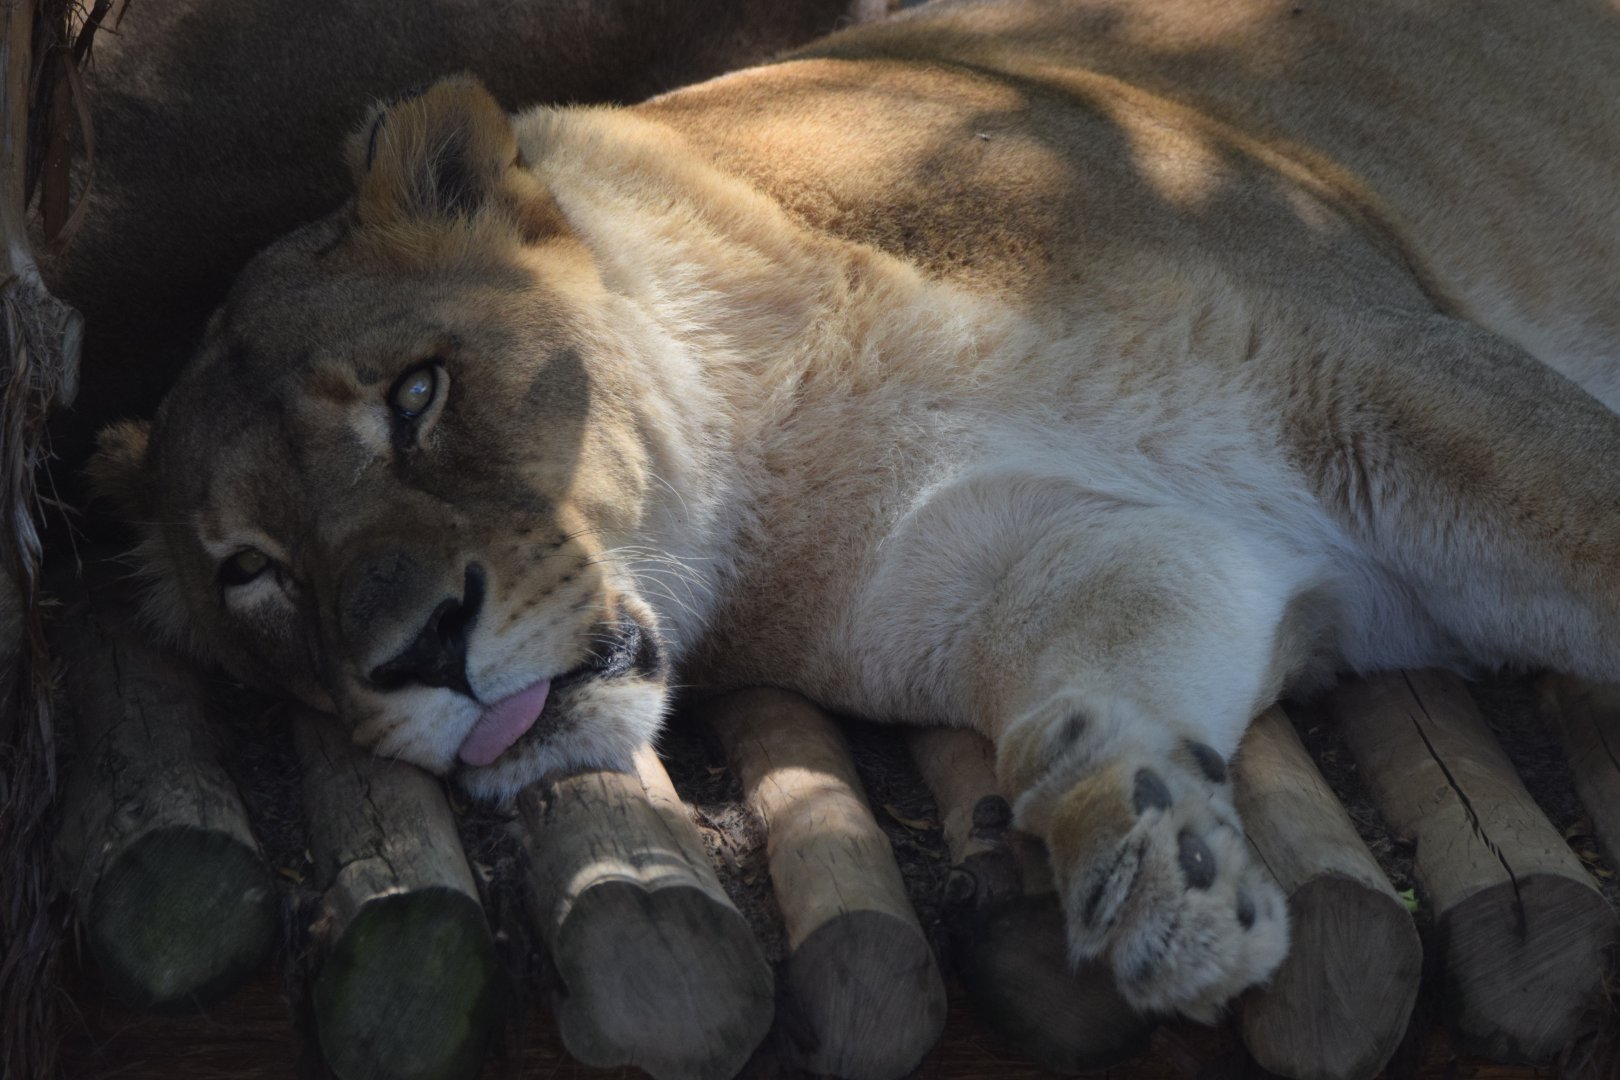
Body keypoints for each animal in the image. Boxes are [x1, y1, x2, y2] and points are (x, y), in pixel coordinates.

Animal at [90, 0, 1620, 1021]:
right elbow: (1079, 707)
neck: (783, 433)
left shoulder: (1380, 373)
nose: (418, 655)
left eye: (415, 394)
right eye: (250, 572)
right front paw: (1160, 873)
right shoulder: (1094, 550)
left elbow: (1585, 513)